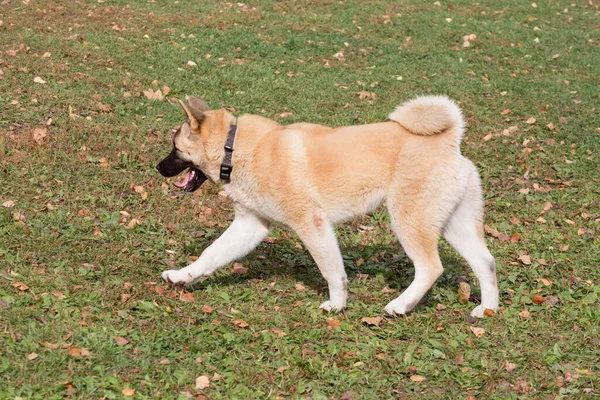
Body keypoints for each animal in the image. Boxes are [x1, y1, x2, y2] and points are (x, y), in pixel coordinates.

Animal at [157, 95, 500, 318]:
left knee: (431, 267)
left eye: (175, 147)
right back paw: (488, 309)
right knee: (486, 263)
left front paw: (337, 305)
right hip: (453, 225)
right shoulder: (249, 226)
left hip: (409, 220)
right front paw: (182, 276)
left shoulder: (312, 224)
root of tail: (449, 139)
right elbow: (210, 255)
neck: (237, 148)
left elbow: (332, 271)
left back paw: (400, 305)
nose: (158, 168)